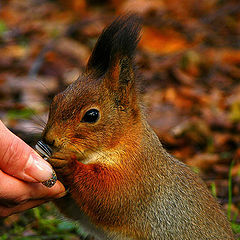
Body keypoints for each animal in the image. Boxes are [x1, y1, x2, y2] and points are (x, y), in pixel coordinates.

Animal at [35, 15, 234, 240]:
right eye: (56, 99)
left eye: (92, 115)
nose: (49, 139)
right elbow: (74, 209)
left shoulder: (137, 177)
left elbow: (109, 197)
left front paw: (68, 164)